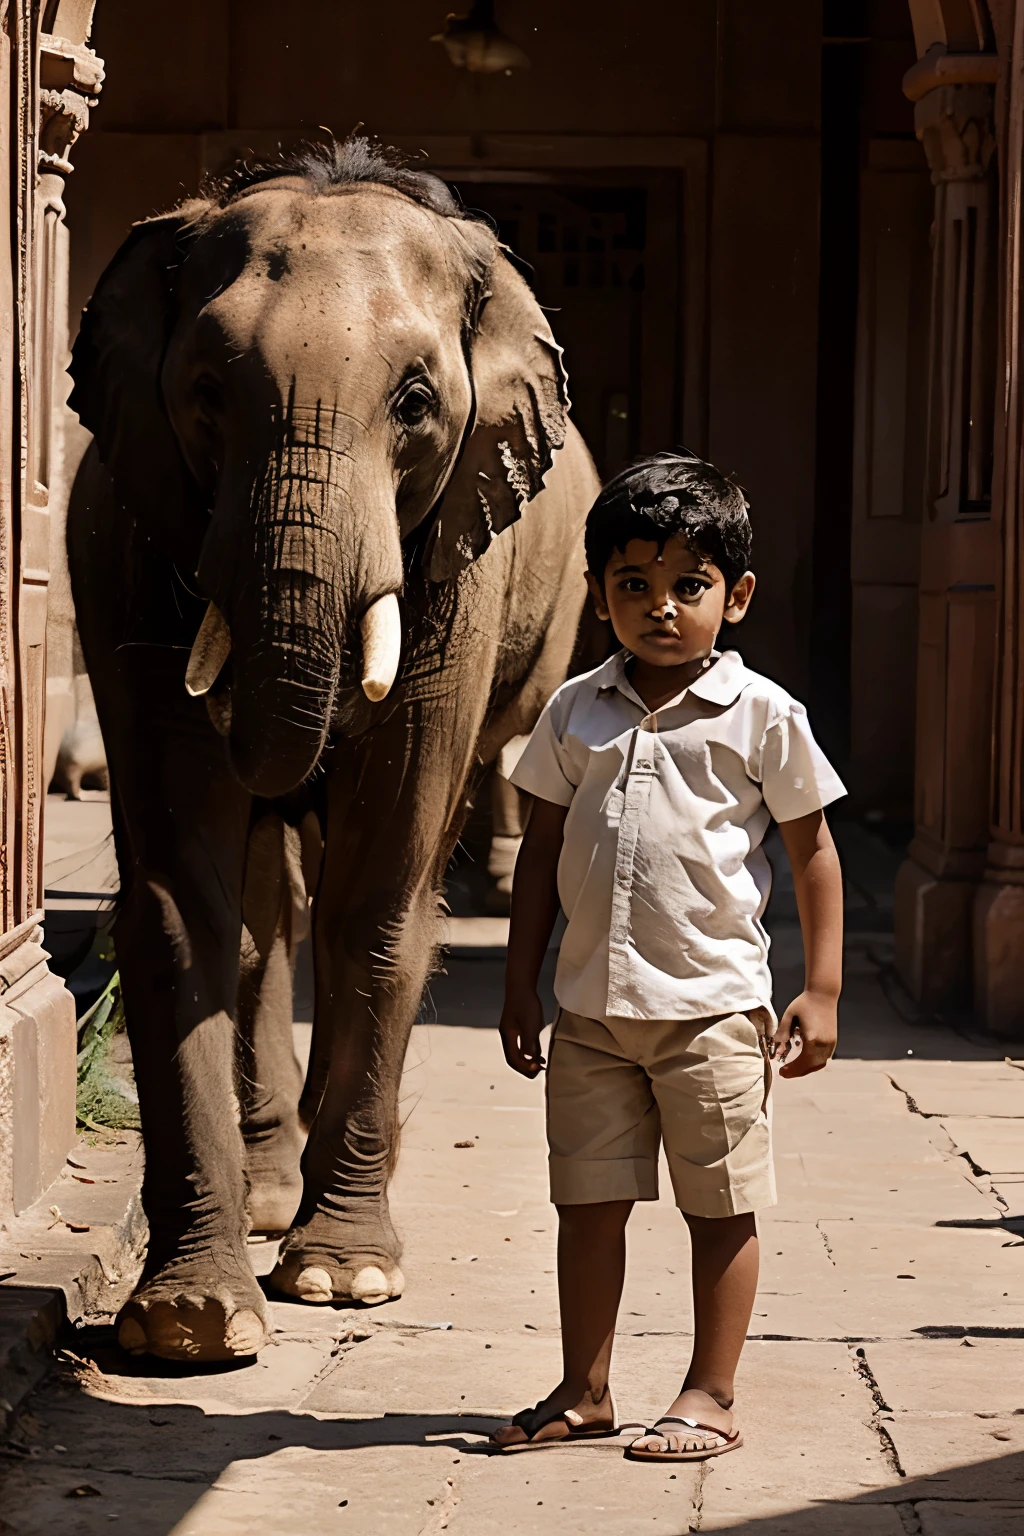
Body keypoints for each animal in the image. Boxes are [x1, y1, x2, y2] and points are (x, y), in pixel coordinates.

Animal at [67, 138, 601, 1363]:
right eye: (207, 393)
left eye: (415, 404)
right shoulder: (129, 550)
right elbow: (186, 904)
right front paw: (186, 1326)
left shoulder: (459, 567)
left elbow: (376, 897)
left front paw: (344, 1277)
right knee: (265, 915)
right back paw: (270, 1198)